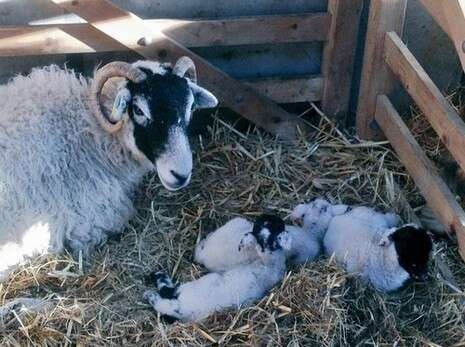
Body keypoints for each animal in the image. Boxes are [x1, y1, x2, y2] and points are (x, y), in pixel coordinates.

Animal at [144, 215, 290, 324]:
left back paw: (153, 287)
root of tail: (182, 309)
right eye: (270, 223)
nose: (279, 219)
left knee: (166, 296)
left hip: (196, 285)